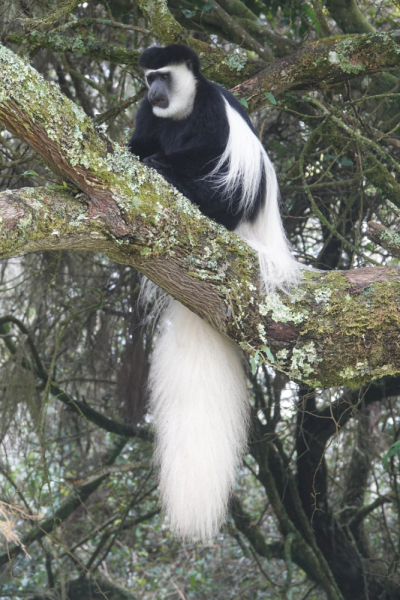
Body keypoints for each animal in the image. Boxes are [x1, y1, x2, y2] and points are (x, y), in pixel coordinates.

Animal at [129, 44, 300, 544]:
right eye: (149, 77)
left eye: (164, 75)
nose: (154, 89)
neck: (180, 111)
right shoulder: (146, 114)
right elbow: (138, 142)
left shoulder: (209, 113)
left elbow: (207, 159)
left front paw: (163, 165)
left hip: (230, 205)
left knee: (220, 185)